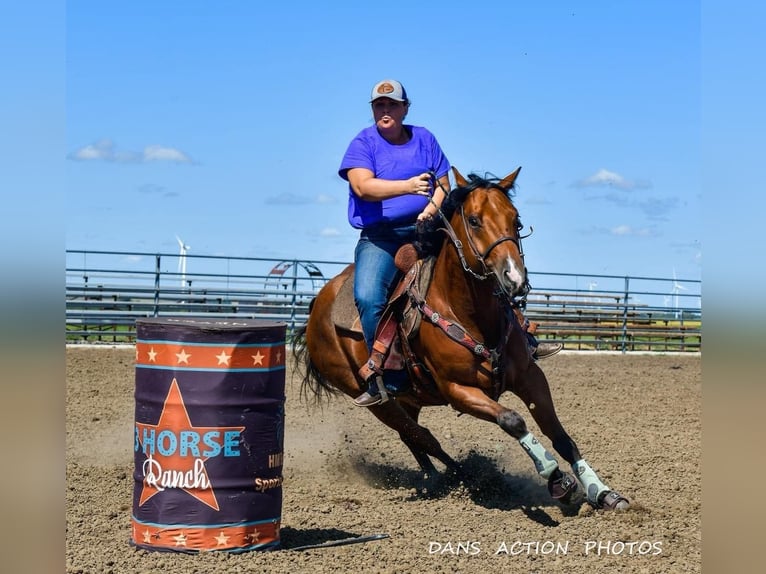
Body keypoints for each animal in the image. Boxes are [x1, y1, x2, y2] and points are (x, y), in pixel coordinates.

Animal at [294, 168, 632, 512]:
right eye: (473, 220)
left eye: (516, 220)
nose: (514, 278)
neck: (470, 314)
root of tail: (317, 307)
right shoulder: (458, 390)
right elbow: (513, 421)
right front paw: (557, 479)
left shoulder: (530, 377)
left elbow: (560, 435)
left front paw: (602, 491)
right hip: (371, 397)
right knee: (422, 436)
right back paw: (463, 475)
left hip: (408, 398)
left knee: (413, 436)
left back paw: (436, 476)